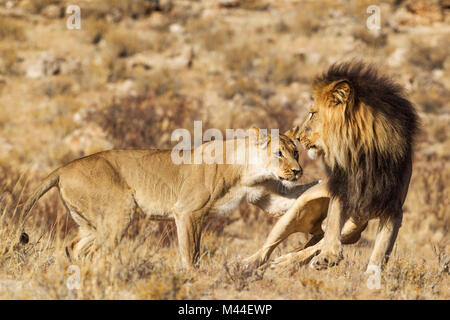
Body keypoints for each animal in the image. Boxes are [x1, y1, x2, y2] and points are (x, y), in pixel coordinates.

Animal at [22, 126, 310, 268]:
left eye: (296, 152)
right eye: (278, 153)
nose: (298, 170)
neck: (247, 170)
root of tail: (63, 168)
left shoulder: (265, 196)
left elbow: (291, 201)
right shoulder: (187, 211)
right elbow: (190, 252)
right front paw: (193, 276)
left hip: (91, 223)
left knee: (73, 247)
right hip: (120, 211)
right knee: (93, 253)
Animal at [246, 61, 418, 272]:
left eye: (313, 114)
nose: (298, 137)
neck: (363, 154)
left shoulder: (393, 209)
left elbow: (381, 248)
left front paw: (372, 275)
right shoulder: (341, 192)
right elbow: (334, 223)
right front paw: (329, 255)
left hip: (352, 226)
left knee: (314, 243)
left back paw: (287, 262)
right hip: (295, 213)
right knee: (269, 248)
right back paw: (246, 264)